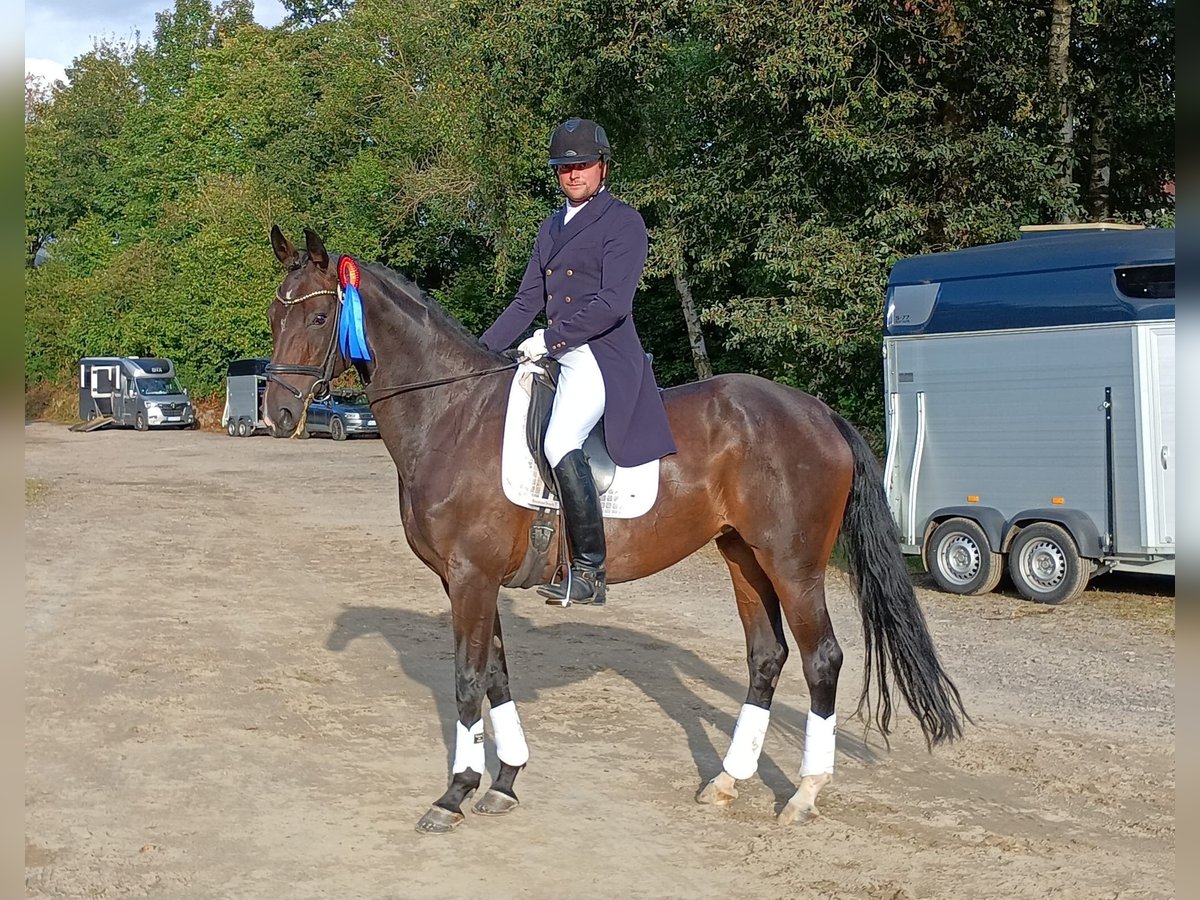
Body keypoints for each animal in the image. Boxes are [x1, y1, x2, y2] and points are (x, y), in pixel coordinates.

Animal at [262, 226, 964, 840]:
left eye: (320, 320)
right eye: (273, 315)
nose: (279, 414)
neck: (451, 413)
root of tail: (816, 412)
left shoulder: (469, 578)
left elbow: (466, 680)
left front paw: (454, 794)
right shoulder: (472, 582)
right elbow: (495, 676)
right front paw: (505, 782)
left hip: (794, 564)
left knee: (823, 661)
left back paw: (804, 796)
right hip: (743, 556)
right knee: (766, 658)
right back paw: (727, 782)